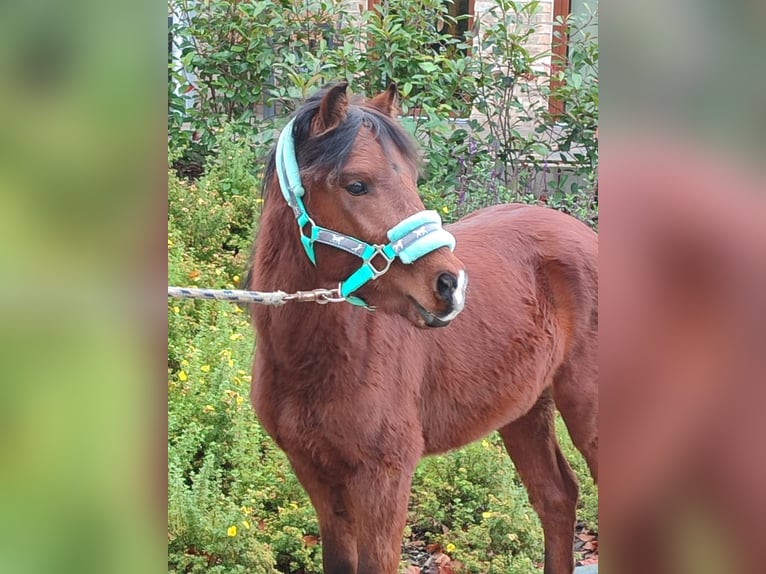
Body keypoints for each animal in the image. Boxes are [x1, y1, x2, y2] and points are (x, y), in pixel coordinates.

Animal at [248, 82, 600, 574]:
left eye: (413, 178)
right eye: (356, 184)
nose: (451, 285)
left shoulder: (384, 479)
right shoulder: (316, 476)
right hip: (524, 411)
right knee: (557, 498)